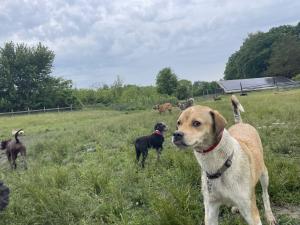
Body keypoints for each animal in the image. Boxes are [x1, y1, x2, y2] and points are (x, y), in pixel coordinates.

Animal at [171, 96, 276, 225]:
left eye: (196, 123)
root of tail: (240, 123)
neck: (218, 166)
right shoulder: (210, 208)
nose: (176, 134)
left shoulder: (250, 211)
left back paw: (269, 216)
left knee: (265, 195)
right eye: (178, 123)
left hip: (264, 175)